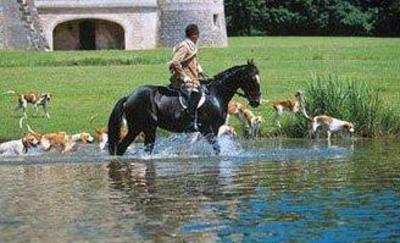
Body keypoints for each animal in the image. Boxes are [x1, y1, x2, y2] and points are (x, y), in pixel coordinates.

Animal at [107, 60, 262, 156]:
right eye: (252, 79)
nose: (256, 101)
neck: (216, 94)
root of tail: (129, 96)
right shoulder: (206, 128)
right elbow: (216, 148)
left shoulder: (214, 128)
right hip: (146, 127)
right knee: (140, 148)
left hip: (138, 128)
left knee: (122, 147)